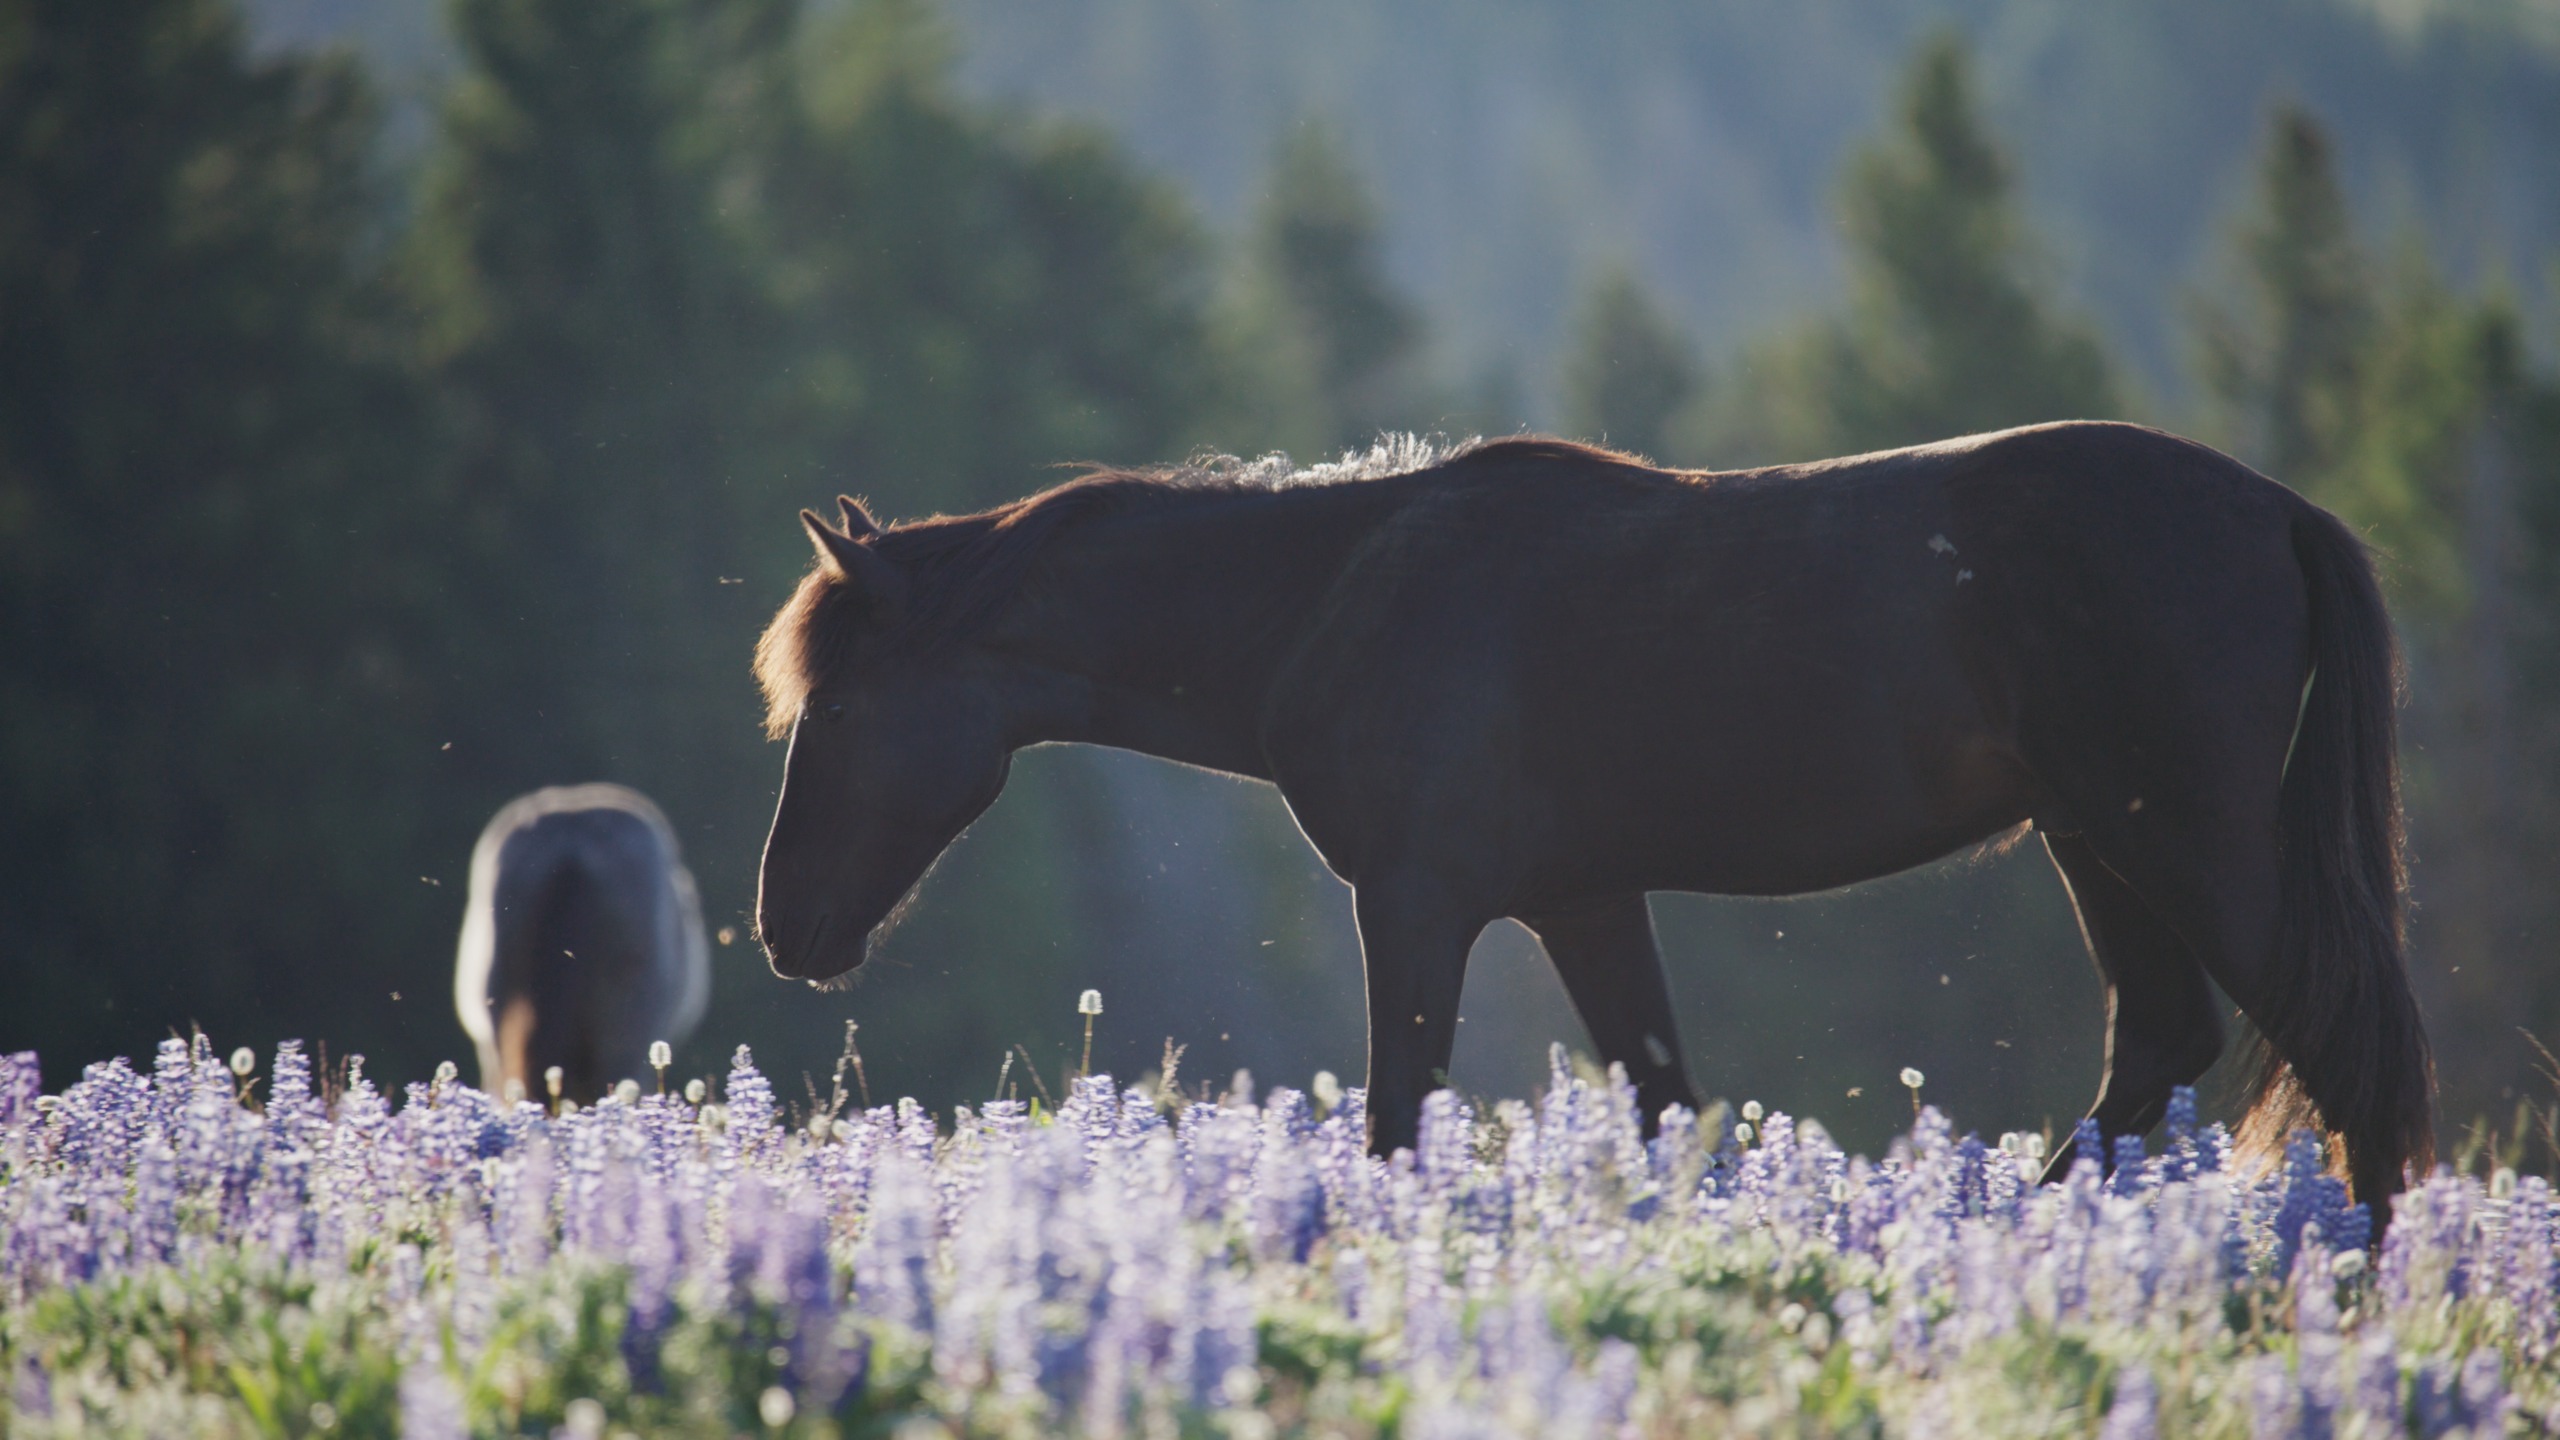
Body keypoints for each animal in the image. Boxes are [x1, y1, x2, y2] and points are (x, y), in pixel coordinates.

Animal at [747, 422, 2426, 1209]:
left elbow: (1398, 1120)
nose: (781, 928)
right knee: (2164, 1044)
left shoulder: (1418, 903)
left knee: (2343, 1051)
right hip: (2100, 841)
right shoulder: (1584, 901)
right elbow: (1666, 1105)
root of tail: (2278, 512)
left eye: (835, 705)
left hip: (2184, 844)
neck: (1330, 595)